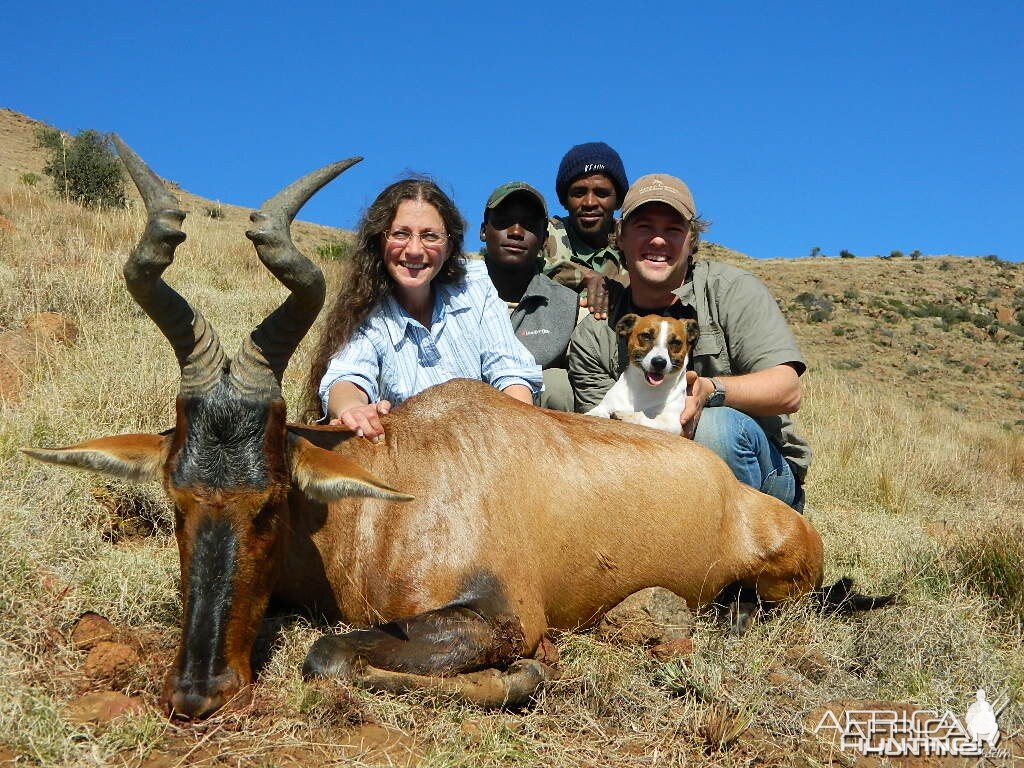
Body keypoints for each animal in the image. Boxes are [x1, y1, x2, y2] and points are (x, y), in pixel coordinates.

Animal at [25, 138, 888, 720]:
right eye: (176, 497)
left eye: (270, 501)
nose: (198, 694)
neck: (387, 497)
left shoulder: (499, 614)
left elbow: (329, 654)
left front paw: (524, 676)